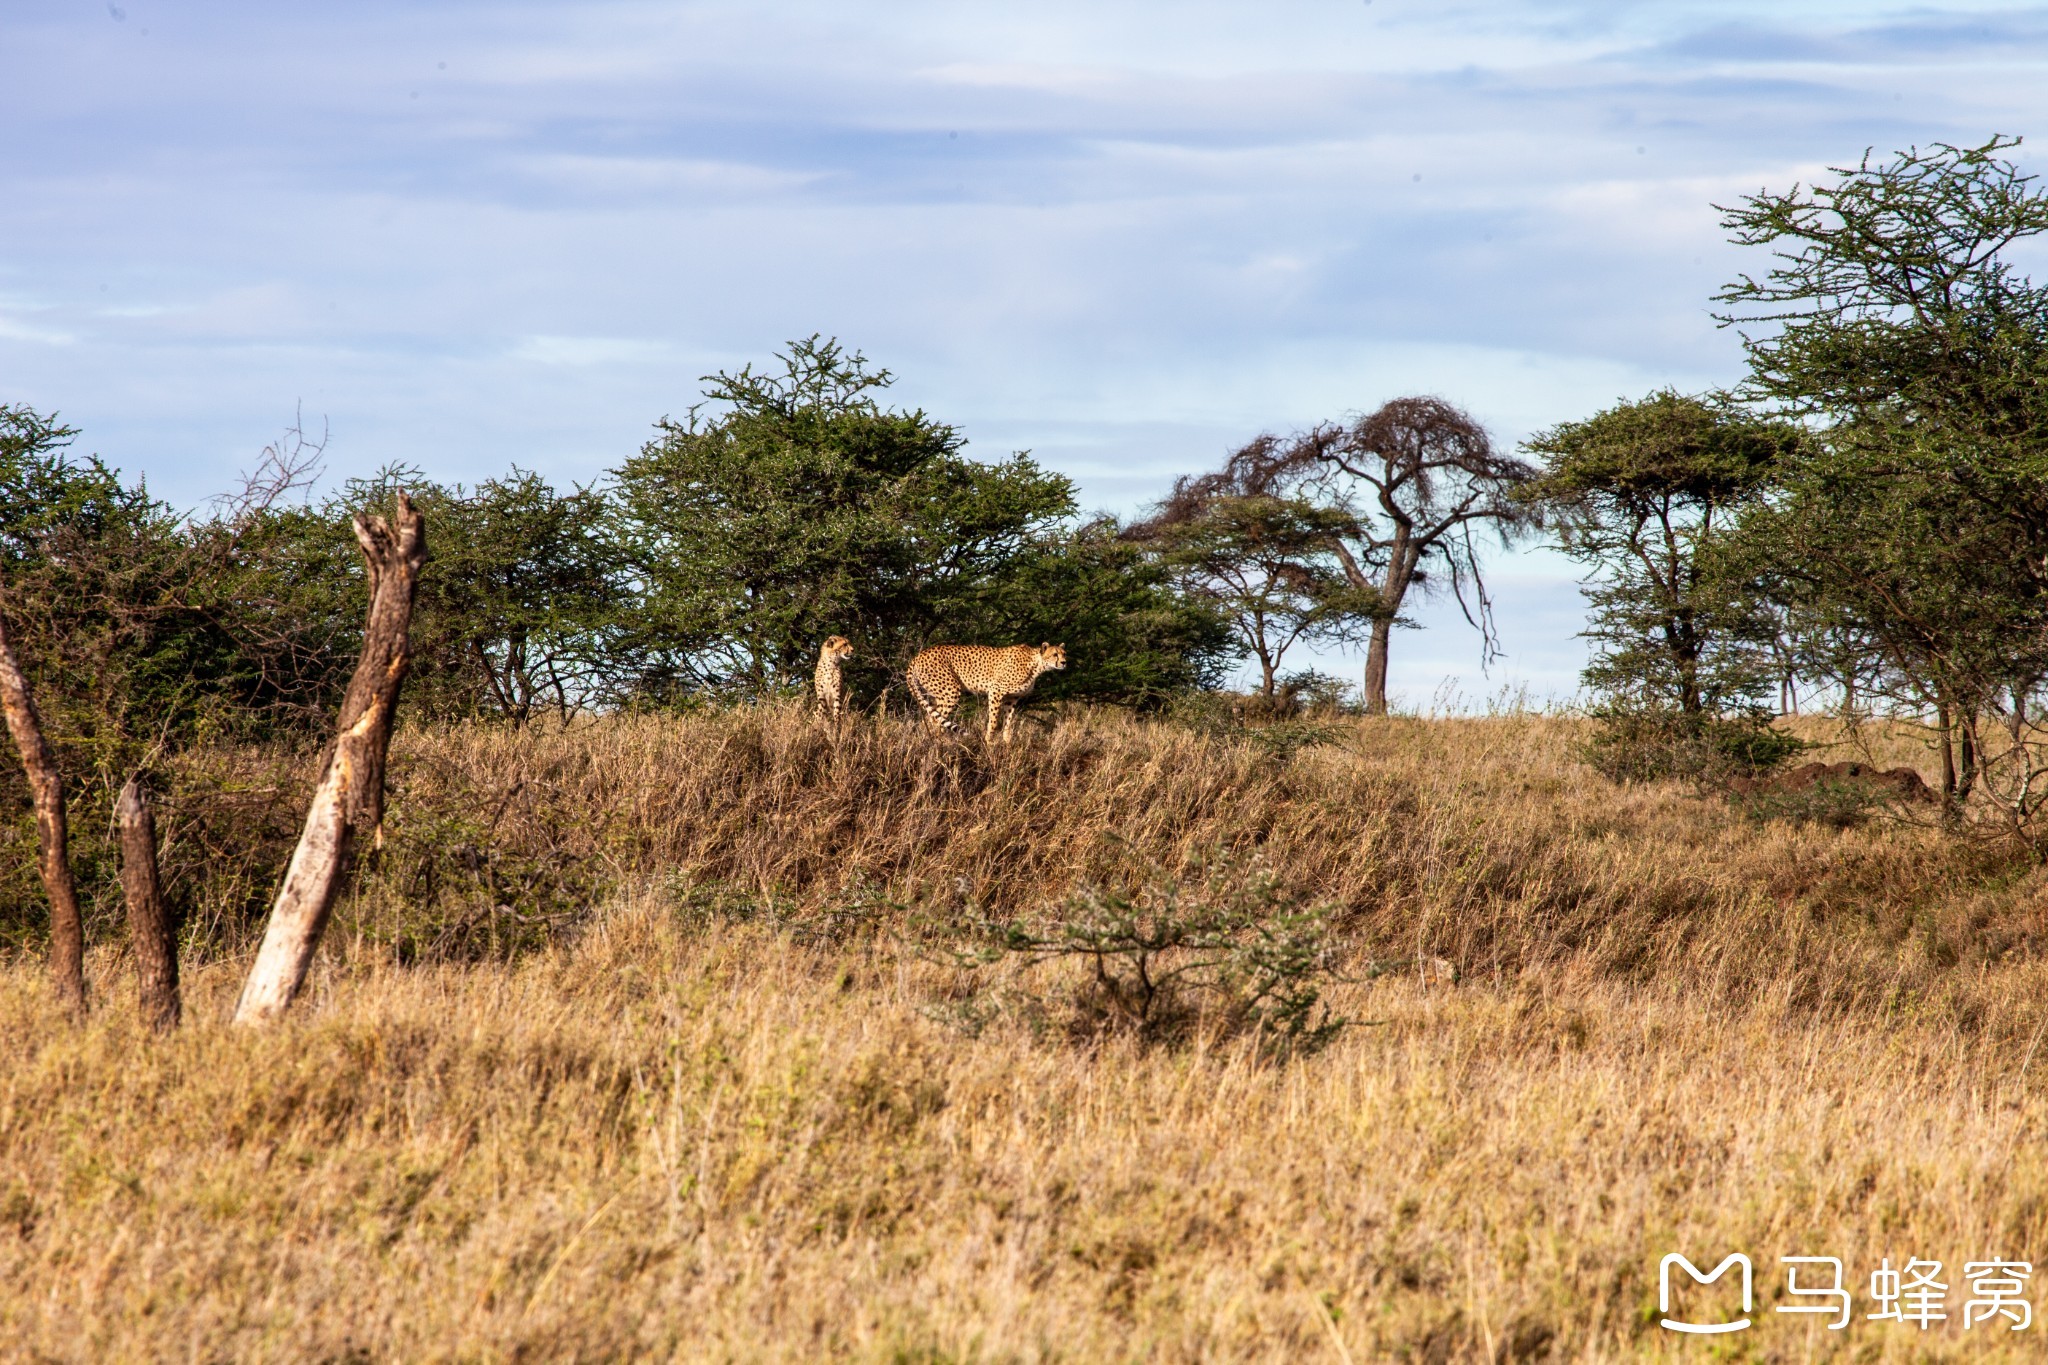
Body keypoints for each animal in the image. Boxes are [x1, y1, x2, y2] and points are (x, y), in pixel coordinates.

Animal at [913, 642, 1073, 740]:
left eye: (1064, 653)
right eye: (1055, 654)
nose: (1064, 663)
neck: (1036, 664)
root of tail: (918, 655)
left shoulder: (1011, 698)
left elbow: (1008, 722)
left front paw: (1007, 743)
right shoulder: (995, 690)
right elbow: (994, 721)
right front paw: (989, 743)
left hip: (939, 694)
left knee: (930, 717)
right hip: (951, 692)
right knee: (935, 718)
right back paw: (939, 743)